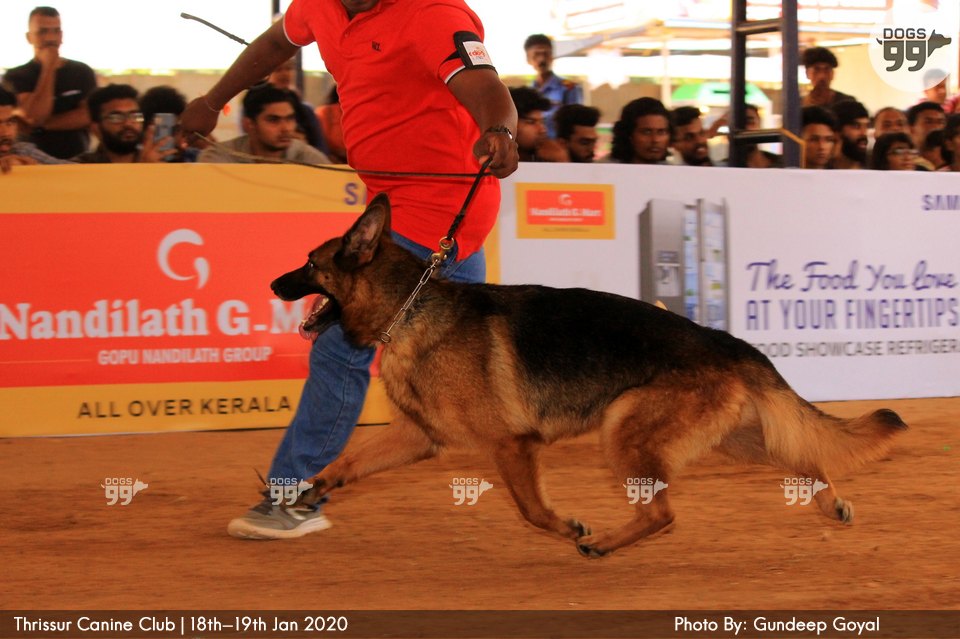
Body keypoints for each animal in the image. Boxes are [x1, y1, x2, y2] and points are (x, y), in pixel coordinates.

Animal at [271, 193, 907, 557]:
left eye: (309, 263)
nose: (275, 284)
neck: (411, 308)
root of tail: (725, 341)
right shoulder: (418, 436)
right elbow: (348, 460)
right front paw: (311, 487)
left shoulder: (512, 445)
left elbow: (531, 509)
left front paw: (569, 527)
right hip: (739, 439)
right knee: (804, 458)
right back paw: (830, 504)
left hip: (624, 430)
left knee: (662, 512)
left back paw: (602, 544)